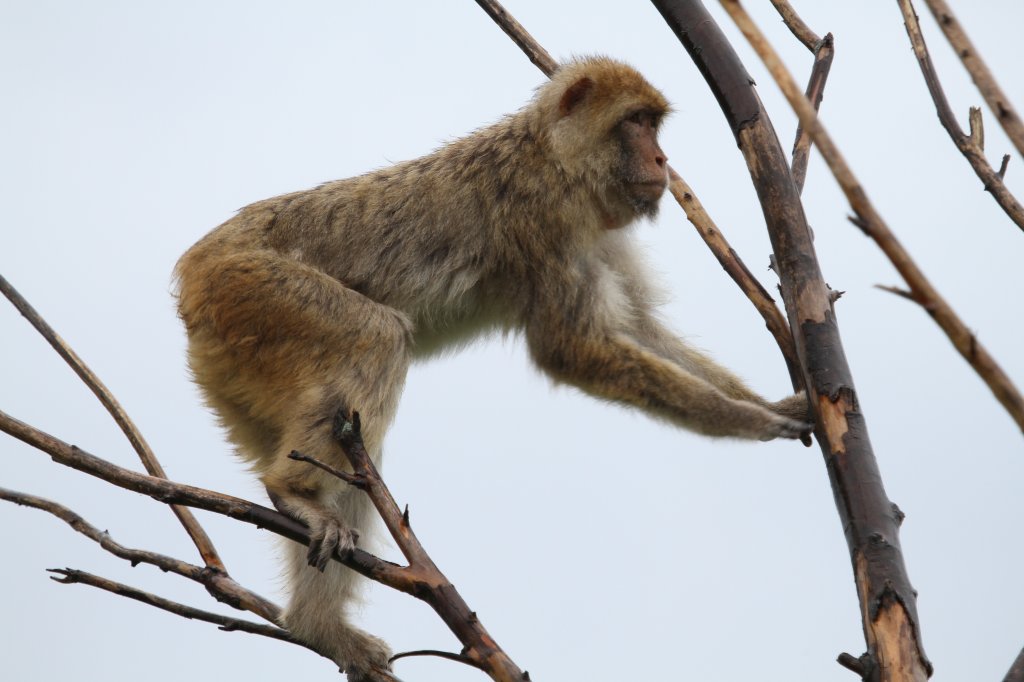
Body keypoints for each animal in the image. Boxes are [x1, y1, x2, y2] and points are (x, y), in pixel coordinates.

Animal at [178, 55, 815, 675]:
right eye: (635, 122)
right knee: (377, 338)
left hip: (238, 363)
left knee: (355, 438)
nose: (662, 159)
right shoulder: (546, 214)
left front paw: (777, 402)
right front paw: (746, 420)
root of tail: (191, 272)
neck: (554, 155)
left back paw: (319, 627)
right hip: (254, 293)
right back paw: (294, 493)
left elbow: (640, 329)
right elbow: (570, 349)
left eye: (653, 125)